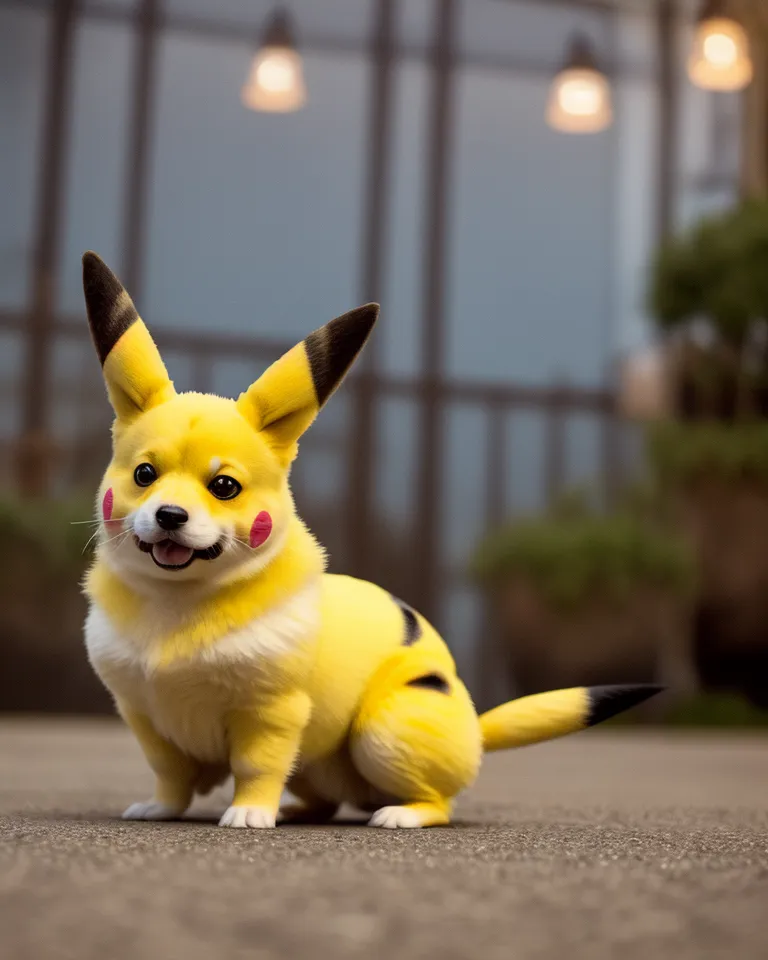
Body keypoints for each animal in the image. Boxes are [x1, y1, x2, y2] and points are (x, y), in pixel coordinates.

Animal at [82, 251, 660, 828]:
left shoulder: (272, 713)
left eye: (224, 487)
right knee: (324, 795)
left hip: (383, 729)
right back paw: (299, 810)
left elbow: (256, 766)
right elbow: (170, 773)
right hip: (321, 759)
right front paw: (161, 808)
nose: (169, 514)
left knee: (440, 800)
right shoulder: (145, 716)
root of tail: (476, 730)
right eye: (144, 475)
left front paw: (248, 813)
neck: (178, 602)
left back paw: (401, 814)